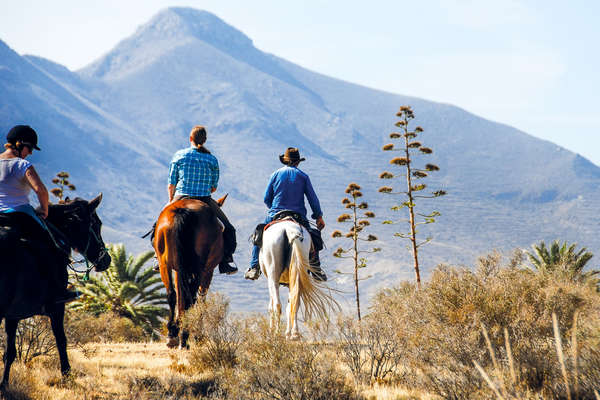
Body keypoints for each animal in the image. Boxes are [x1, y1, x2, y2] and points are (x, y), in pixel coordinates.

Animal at [0, 195, 111, 390]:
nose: (106, 260)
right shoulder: (57, 308)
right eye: (97, 224)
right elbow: (62, 340)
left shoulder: (12, 315)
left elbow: (10, 352)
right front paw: (67, 375)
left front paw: (4, 385)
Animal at [154, 195, 229, 348]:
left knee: (172, 294)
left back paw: (173, 334)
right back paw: (184, 335)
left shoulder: (178, 270)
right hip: (199, 268)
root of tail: (183, 211)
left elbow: (180, 297)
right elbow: (200, 299)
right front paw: (197, 335)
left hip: (165, 264)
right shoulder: (208, 271)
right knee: (192, 298)